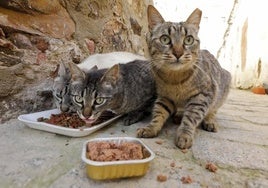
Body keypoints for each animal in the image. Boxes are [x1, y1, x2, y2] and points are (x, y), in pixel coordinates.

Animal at [137, 5, 231, 150]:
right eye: (165, 39)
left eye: (188, 39)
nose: (178, 53)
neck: (175, 79)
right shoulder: (165, 96)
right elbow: (159, 112)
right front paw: (151, 128)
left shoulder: (202, 95)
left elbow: (191, 117)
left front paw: (184, 135)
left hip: (222, 88)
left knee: (213, 109)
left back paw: (209, 121)